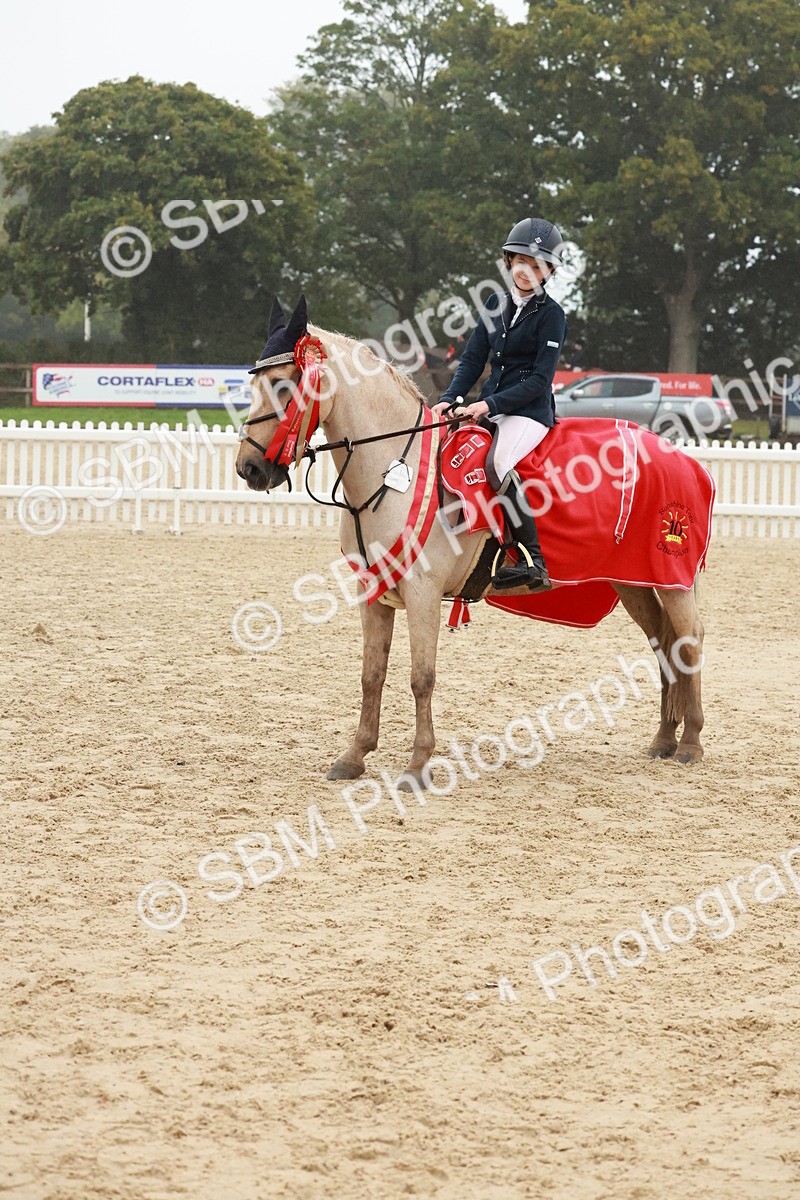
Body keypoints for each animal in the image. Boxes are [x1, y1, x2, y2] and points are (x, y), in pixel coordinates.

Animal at [236, 311, 708, 789]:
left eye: (283, 385)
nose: (249, 468)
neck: (395, 470)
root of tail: (687, 461)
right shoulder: (373, 594)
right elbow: (372, 674)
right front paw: (355, 755)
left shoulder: (422, 594)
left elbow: (421, 678)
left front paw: (417, 765)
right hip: (634, 582)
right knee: (663, 642)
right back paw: (664, 740)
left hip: (673, 581)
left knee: (689, 642)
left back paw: (690, 743)